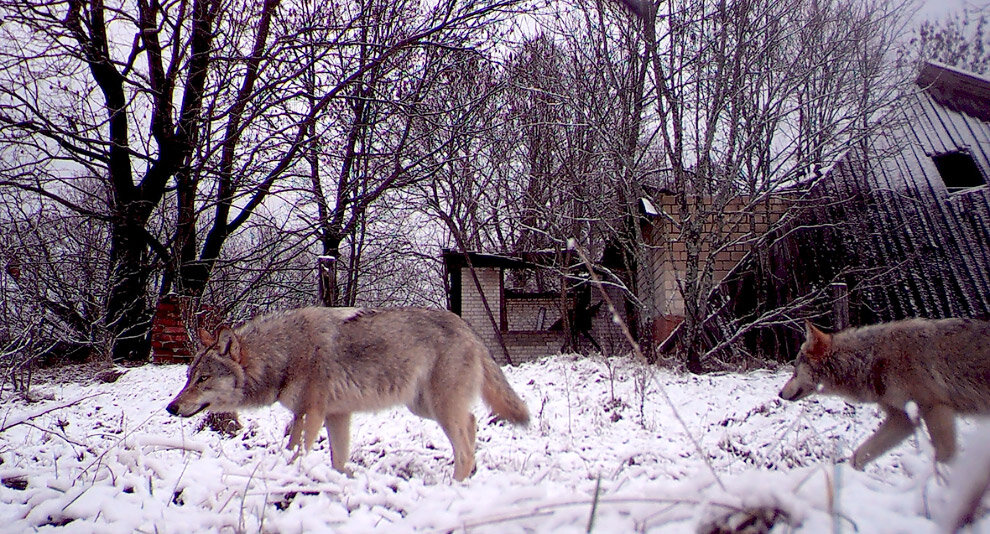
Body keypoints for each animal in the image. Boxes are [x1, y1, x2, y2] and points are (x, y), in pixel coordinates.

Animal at [167, 308, 532, 484]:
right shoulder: (336, 416)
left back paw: (454, 487)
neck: (285, 353)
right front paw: (338, 481)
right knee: (472, 424)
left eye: (203, 379)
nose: (171, 407)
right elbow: (338, 460)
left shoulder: (310, 414)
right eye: (188, 378)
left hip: (438, 409)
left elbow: (296, 451)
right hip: (424, 408)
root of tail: (468, 328)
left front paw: (293, 475)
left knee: (465, 446)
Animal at [784, 320, 990, 472]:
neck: (871, 360)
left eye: (795, 370)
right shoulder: (902, 420)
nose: (780, 393)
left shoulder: (936, 408)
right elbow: (859, 455)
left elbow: (944, 456)